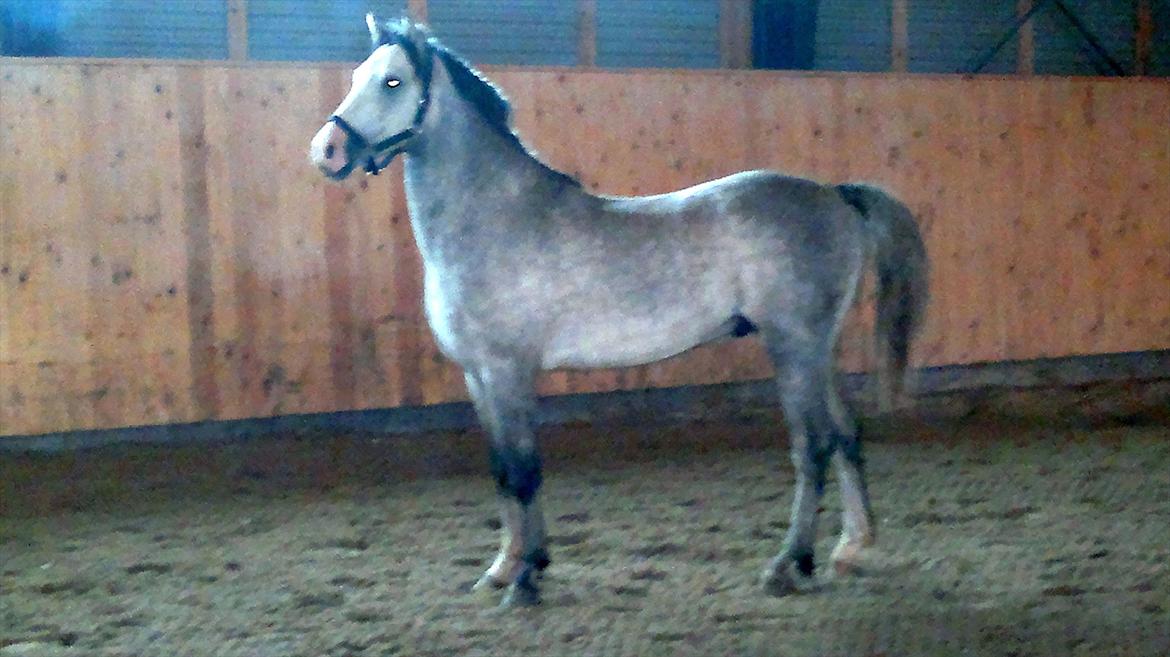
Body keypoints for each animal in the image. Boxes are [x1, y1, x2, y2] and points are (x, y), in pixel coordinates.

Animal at [306, 16, 926, 607]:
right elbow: (502, 471)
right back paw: (850, 548)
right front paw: (502, 569)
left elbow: (525, 471)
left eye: (393, 81)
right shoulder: (477, 376)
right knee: (845, 434)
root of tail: (835, 196)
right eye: (358, 75)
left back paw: (788, 565)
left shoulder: (509, 371)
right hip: (817, 351)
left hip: (793, 346)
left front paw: (526, 579)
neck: (495, 218)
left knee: (812, 447)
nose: (326, 151)